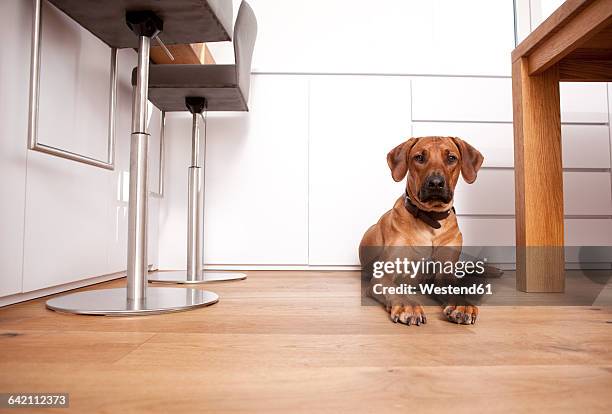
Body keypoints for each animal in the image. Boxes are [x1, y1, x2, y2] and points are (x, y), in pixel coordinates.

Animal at [358, 137, 482, 326]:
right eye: (419, 158)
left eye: (451, 158)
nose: (436, 183)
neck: (430, 220)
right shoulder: (384, 275)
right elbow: (395, 289)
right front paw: (407, 306)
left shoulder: (443, 274)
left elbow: (453, 287)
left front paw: (462, 304)